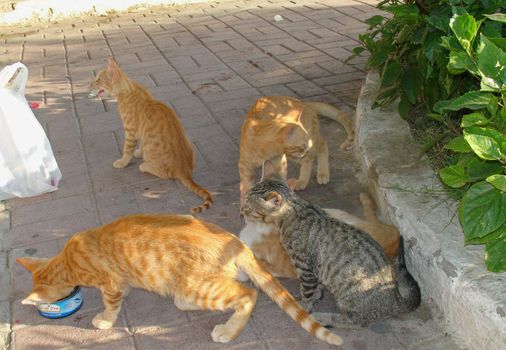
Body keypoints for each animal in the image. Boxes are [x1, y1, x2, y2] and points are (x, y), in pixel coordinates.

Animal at [18, 215, 344, 346]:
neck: (67, 260)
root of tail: (237, 243)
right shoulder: (118, 281)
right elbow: (123, 291)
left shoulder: (108, 284)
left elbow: (111, 304)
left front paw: (105, 320)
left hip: (198, 286)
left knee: (248, 295)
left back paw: (228, 331)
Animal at [89, 58, 211, 213]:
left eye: (98, 80)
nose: (89, 85)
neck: (128, 88)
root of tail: (184, 170)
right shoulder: (141, 130)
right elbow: (142, 142)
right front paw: (139, 152)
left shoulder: (130, 131)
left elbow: (127, 150)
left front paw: (122, 162)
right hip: (189, 143)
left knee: (162, 173)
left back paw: (145, 166)